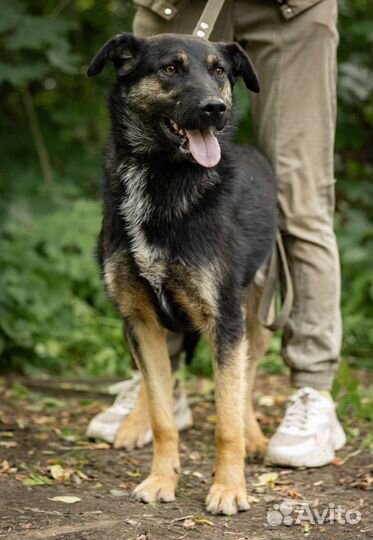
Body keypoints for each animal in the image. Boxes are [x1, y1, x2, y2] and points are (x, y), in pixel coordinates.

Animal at [88, 32, 276, 516]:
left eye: (219, 71)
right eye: (170, 69)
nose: (216, 109)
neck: (161, 178)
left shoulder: (224, 322)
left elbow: (226, 417)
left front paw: (229, 488)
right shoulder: (139, 318)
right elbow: (161, 412)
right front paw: (161, 478)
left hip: (258, 318)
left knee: (246, 381)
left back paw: (255, 436)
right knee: (160, 379)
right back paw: (133, 424)